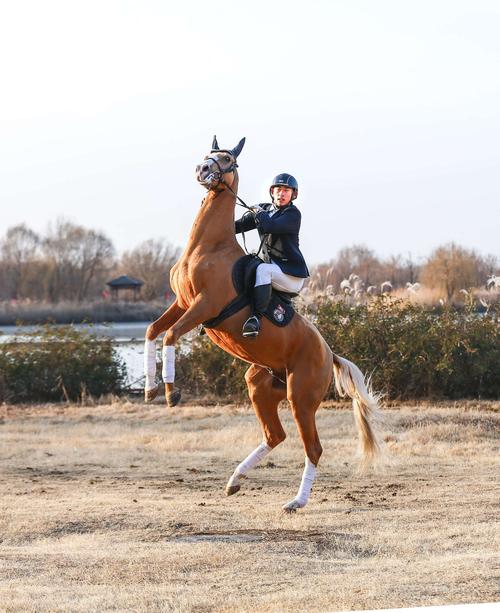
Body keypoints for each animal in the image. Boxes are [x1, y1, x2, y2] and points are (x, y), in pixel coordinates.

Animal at [143, 135, 380, 512]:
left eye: (227, 159)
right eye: (209, 154)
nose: (202, 170)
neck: (207, 248)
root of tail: (329, 353)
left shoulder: (203, 306)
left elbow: (170, 336)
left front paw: (170, 392)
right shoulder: (181, 302)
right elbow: (153, 330)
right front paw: (151, 388)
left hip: (301, 399)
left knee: (312, 448)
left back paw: (296, 501)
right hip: (260, 386)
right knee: (275, 435)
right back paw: (234, 480)